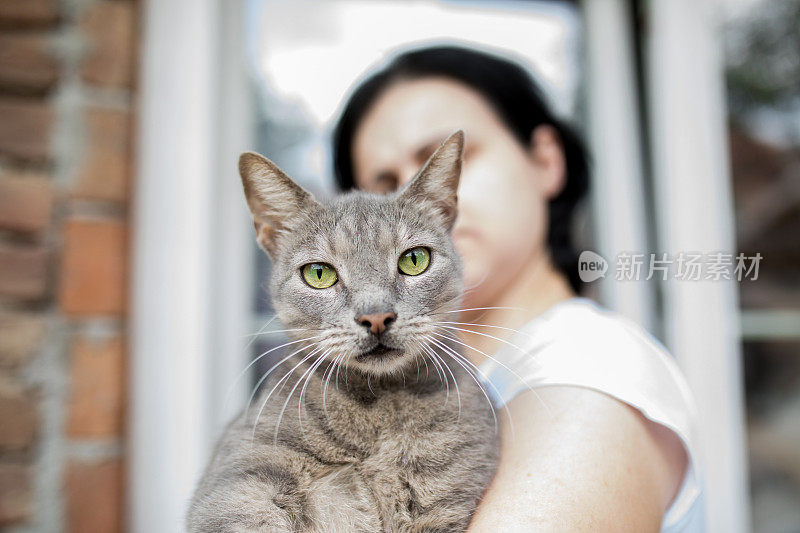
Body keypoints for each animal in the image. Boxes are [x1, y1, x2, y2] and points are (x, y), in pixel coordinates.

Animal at [188, 131, 500, 528]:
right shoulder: (237, 490)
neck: (376, 419)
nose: (376, 316)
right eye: (319, 273)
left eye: (415, 260)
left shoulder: (447, 501)